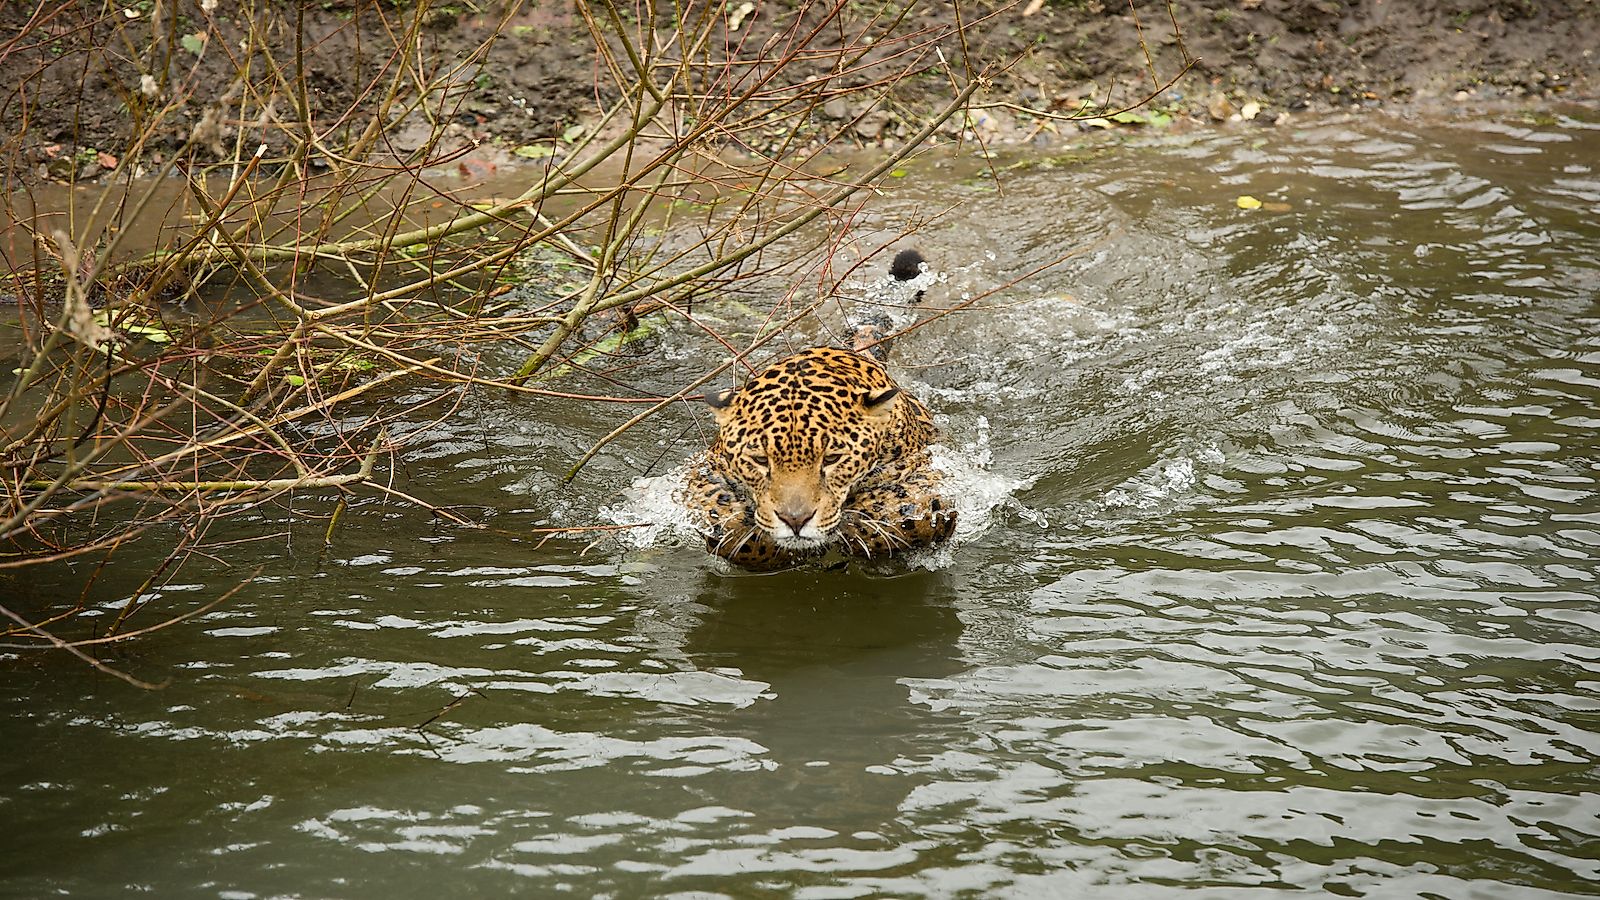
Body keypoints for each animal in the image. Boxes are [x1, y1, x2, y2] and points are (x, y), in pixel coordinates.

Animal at [678, 252, 956, 571]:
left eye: (832, 459)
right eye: (760, 460)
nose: (795, 520)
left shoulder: (930, 472)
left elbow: (912, 514)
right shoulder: (705, 470)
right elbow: (723, 519)